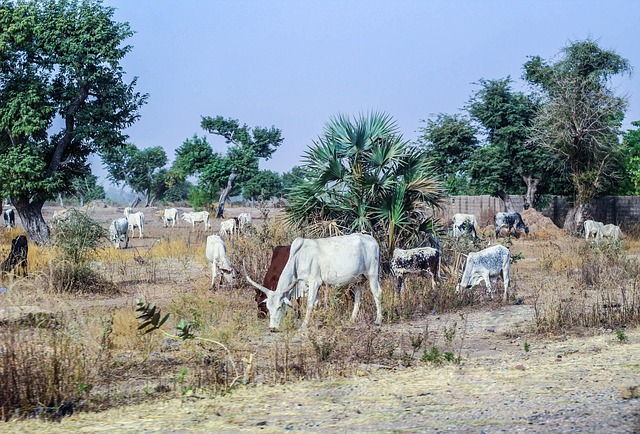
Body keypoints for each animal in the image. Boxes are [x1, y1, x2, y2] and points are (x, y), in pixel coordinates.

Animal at [244, 234, 382, 328]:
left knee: (377, 293)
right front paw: (320, 320)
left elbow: (310, 304)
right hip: (359, 280)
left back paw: (378, 320)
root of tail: (371, 239)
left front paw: (304, 325)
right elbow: (317, 303)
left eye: (279, 307)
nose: (272, 328)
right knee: (358, 298)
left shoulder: (314, 282)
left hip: (372, 274)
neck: (298, 257)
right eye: (268, 306)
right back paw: (352, 320)